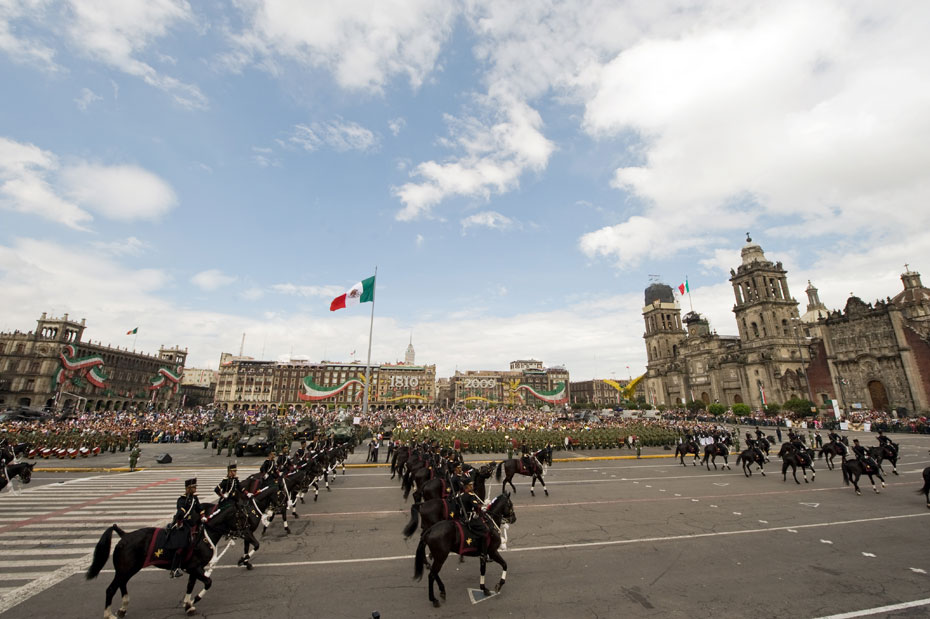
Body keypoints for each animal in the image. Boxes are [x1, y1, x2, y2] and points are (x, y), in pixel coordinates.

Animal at [86, 496, 257, 618]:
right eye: (241, 516)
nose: (250, 533)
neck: (204, 536)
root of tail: (124, 535)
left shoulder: (194, 568)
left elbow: (190, 585)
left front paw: (188, 605)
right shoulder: (194, 567)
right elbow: (208, 582)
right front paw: (194, 601)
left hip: (128, 569)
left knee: (121, 585)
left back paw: (122, 608)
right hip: (125, 569)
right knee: (110, 589)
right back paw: (109, 615)